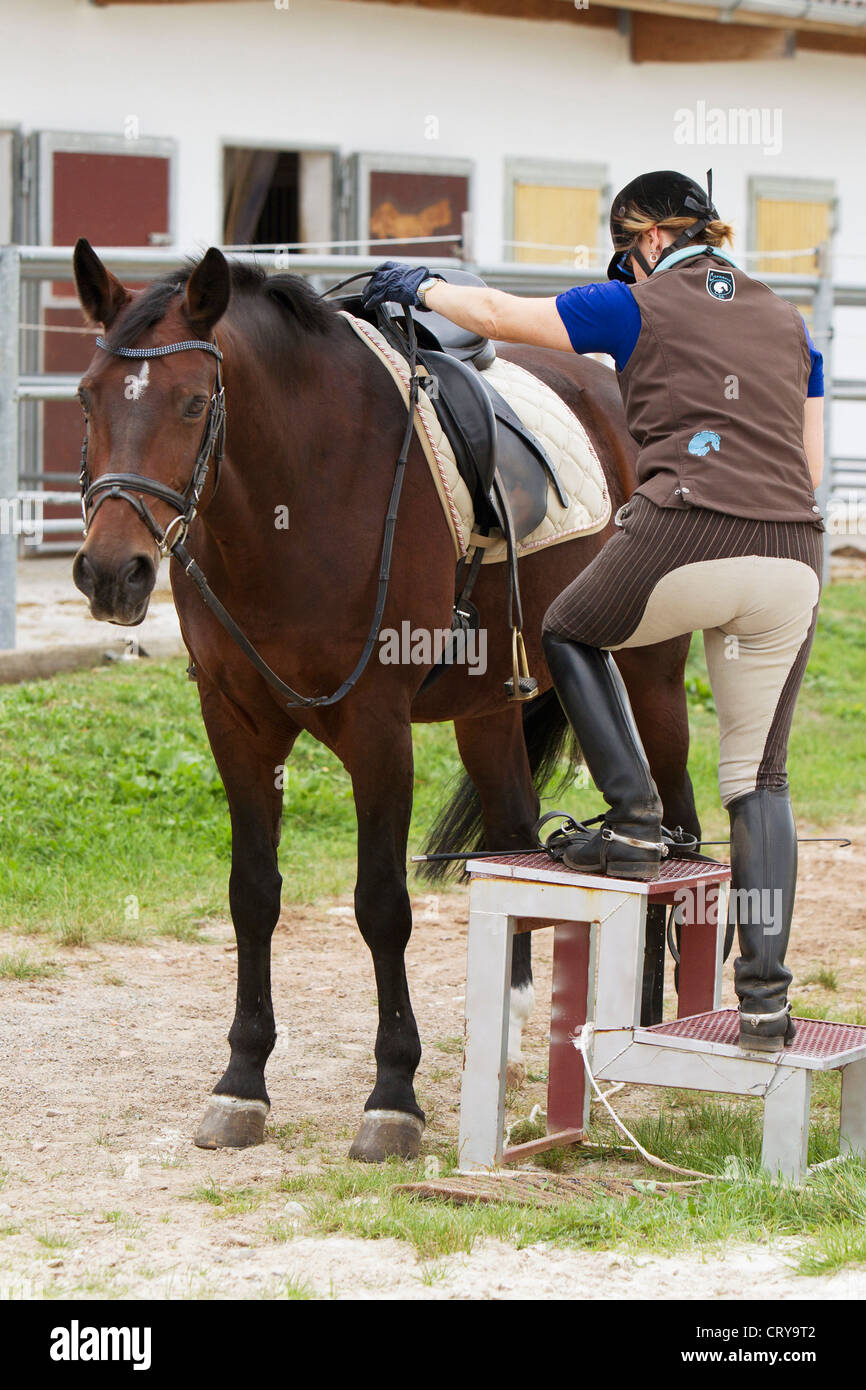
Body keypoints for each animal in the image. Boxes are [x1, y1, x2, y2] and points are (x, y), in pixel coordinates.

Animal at [71, 240, 700, 1161]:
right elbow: (252, 894)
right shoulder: (236, 723)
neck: (298, 492)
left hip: (650, 672)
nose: (111, 573)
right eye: (87, 395)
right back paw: (513, 1035)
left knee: (679, 829)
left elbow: (380, 905)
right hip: (489, 710)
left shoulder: (377, 730)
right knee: (516, 837)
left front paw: (393, 1095)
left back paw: (658, 1023)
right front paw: (241, 1082)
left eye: (191, 402)